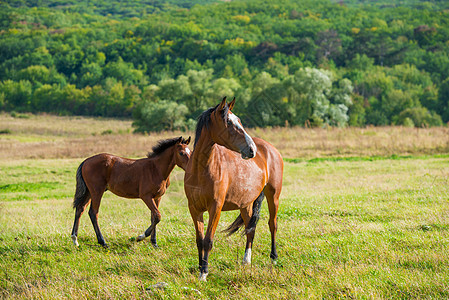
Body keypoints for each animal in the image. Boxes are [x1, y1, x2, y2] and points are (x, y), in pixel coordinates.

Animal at [184, 97, 282, 280]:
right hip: (246, 203)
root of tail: (269, 148)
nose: (251, 149)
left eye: (239, 121)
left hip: (273, 196)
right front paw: (200, 268)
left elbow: (208, 240)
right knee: (250, 228)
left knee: (272, 224)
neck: (201, 169)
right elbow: (199, 240)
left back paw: (273, 258)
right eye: (228, 122)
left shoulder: (215, 207)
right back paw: (246, 261)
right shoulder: (194, 208)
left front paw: (204, 273)